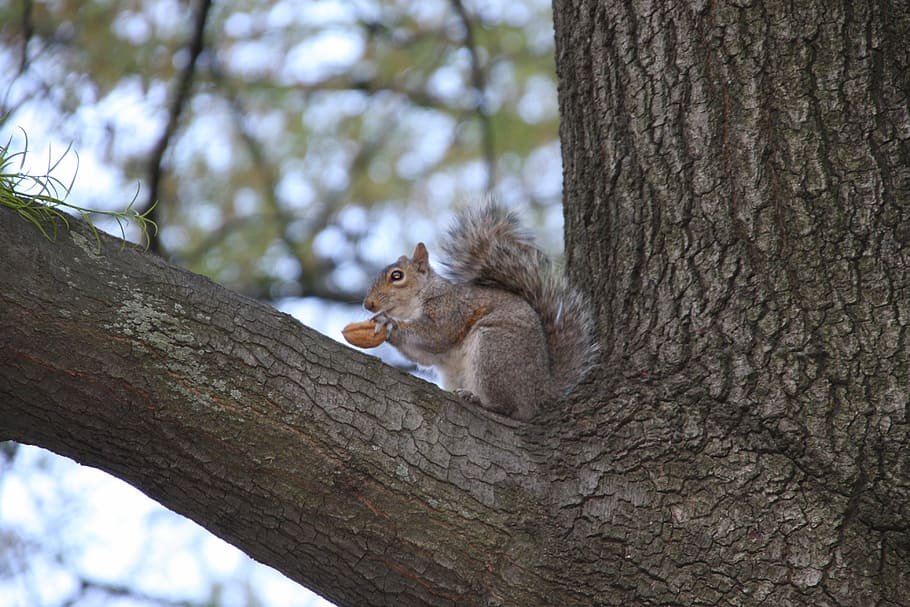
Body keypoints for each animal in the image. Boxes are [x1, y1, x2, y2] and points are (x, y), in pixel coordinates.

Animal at [364, 202, 597, 420]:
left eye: (397, 276)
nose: (368, 304)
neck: (419, 300)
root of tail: (541, 391)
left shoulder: (451, 309)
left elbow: (437, 335)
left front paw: (389, 323)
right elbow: (424, 355)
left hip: (494, 350)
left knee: (509, 408)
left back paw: (478, 400)